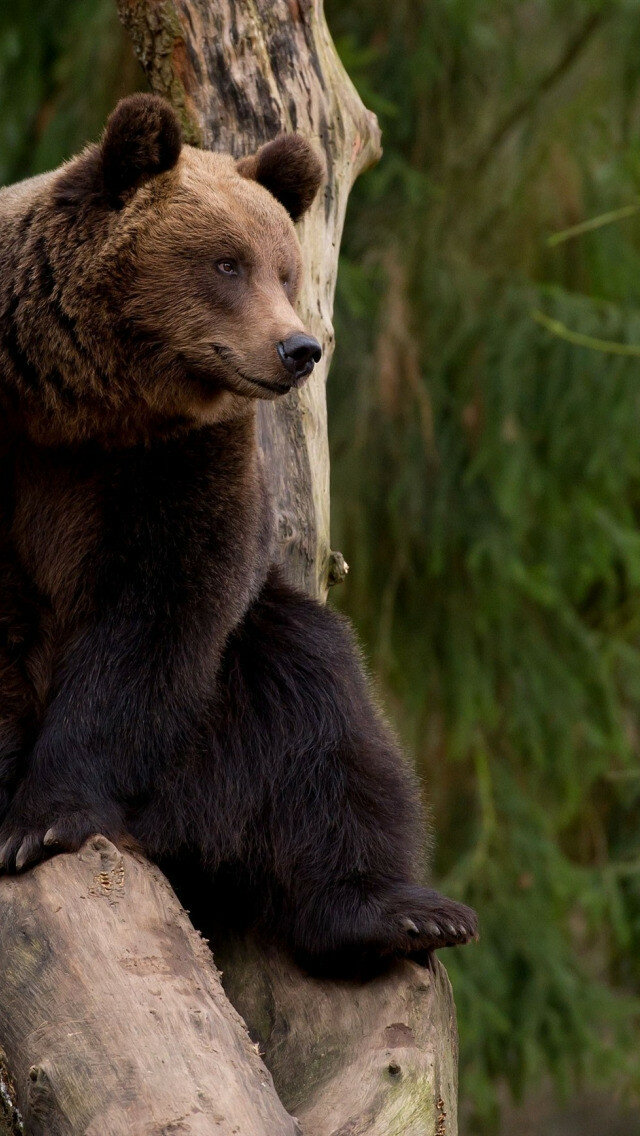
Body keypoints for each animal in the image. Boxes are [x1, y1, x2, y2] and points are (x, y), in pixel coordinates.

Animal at [0, 93, 477, 971]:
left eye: (284, 269)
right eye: (226, 264)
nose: (299, 348)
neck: (76, 405)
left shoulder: (184, 460)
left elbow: (160, 610)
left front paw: (48, 813)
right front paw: (18, 808)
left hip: (236, 684)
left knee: (325, 722)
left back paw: (401, 912)